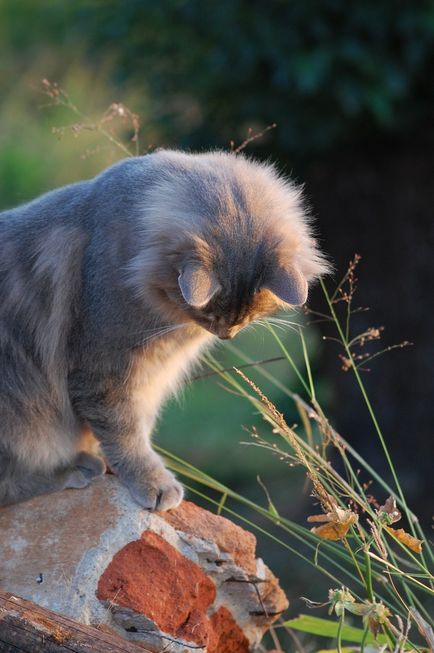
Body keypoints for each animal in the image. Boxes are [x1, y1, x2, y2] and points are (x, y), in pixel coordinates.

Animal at [0, 150, 328, 512]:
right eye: (208, 311)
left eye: (250, 314)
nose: (227, 332)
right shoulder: (104, 373)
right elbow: (125, 434)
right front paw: (153, 482)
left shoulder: (145, 380)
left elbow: (135, 428)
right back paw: (75, 470)